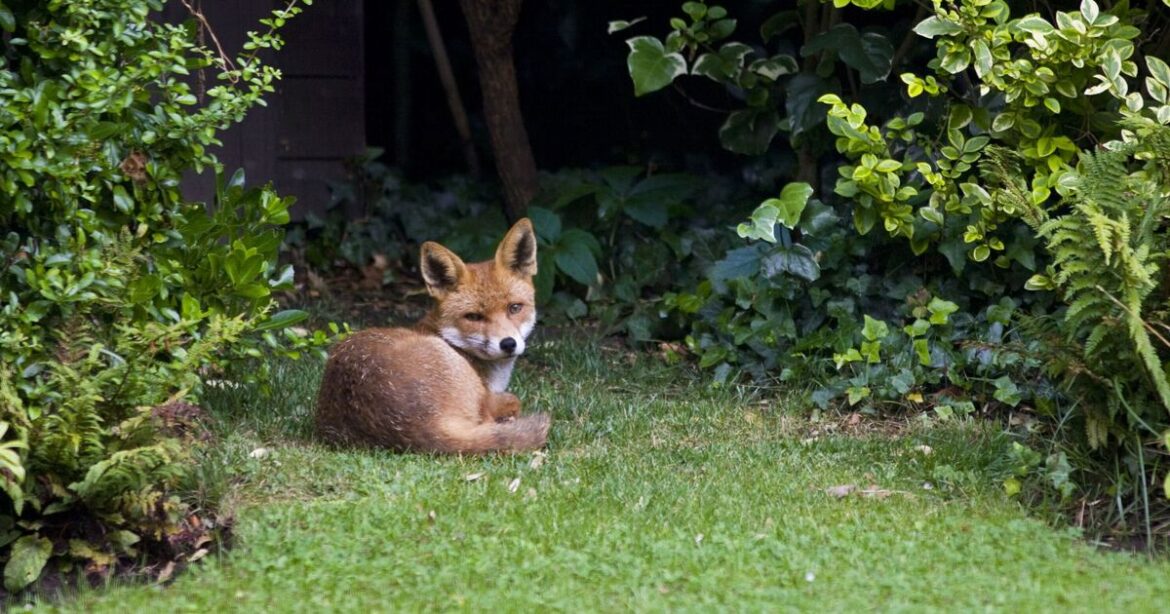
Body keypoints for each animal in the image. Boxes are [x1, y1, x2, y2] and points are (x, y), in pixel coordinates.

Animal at [314, 218, 551, 453]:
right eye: (473, 316)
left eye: (514, 308)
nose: (508, 344)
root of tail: (419, 429)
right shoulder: (486, 397)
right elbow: (512, 401)